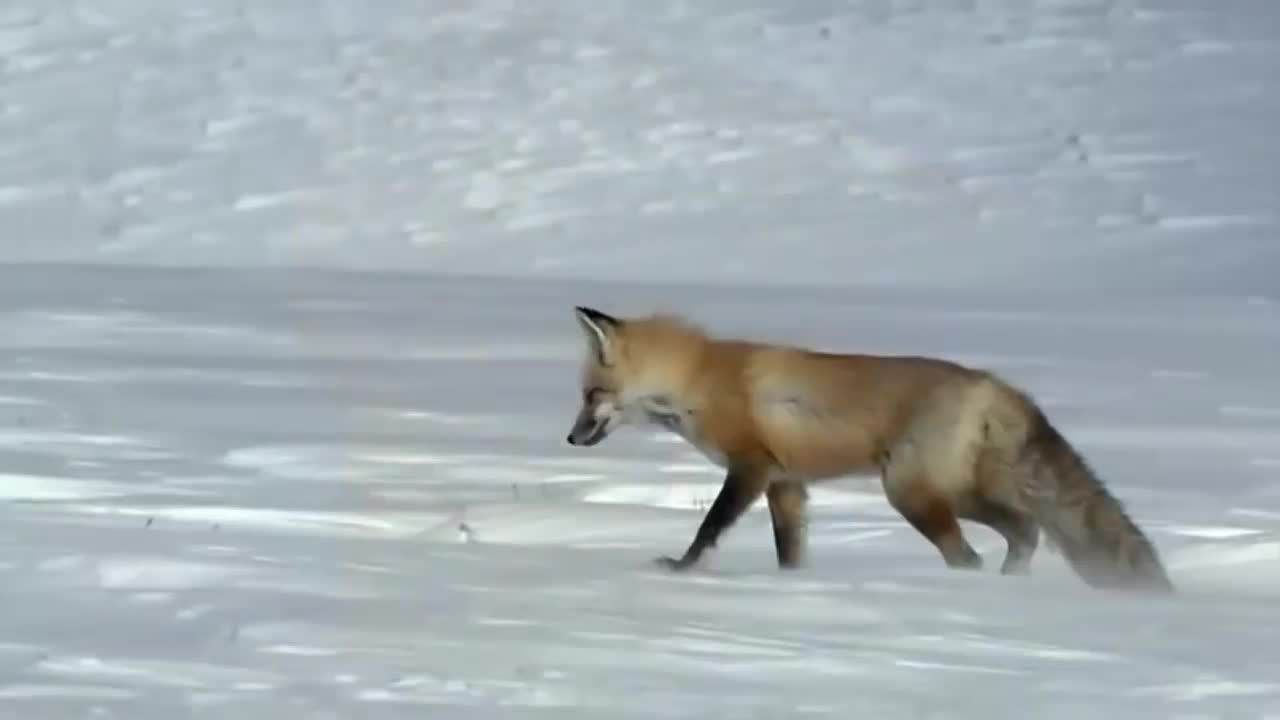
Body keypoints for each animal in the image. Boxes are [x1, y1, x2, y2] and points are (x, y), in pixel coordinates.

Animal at [564, 306, 1174, 593]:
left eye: (591, 395)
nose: (569, 438)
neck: (697, 379)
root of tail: (993, 384)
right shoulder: (787, 482)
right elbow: (791, 552)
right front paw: (792, 590)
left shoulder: (751, 467)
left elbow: (708, 527)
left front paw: (682, 569)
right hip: (953, 491)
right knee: (1025, 530)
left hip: (910, 492)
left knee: (974, 553)